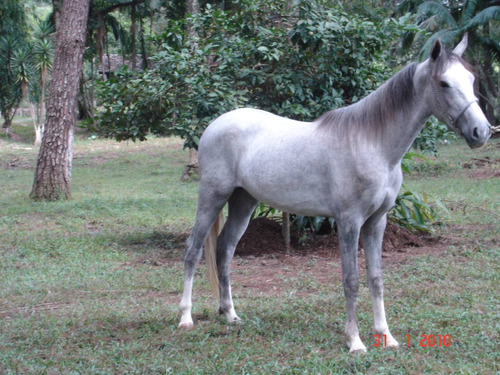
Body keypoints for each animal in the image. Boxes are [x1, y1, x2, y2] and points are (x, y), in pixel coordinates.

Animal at [178, 33, 490, 354]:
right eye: (444, 83)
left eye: (470, 78)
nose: (482, 131)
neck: (372, 143)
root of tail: (215, 125)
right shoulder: (349, 221)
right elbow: (351, 280)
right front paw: (355, 341)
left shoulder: (377, 221)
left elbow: (376, 278)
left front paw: (385, 335)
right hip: (213, 196)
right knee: (193, 249)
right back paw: (185, 317)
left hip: (244, 201)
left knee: (225, 249)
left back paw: (230, 314)